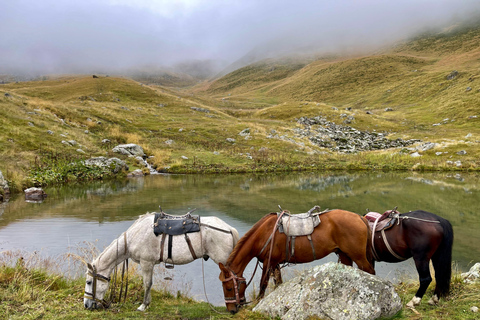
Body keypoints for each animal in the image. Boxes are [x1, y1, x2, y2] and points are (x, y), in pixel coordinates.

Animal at [84, 211, 240, 312]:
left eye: (89, 282)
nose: (86, 305)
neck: (135, 235)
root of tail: (228, 228)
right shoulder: (150, 263)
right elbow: (149, 284)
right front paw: (147, 304)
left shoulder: (146, 262)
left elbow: (147, 284)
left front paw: (143, 306)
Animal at [219, 209, 376, 314]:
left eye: (229, 288)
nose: (231, 310)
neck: (264, 235)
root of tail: (360, 218)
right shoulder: (275, 264)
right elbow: (278, 283)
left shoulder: (268, 263)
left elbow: (263, 284)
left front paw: (257, 303)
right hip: (344, 255)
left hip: (358, 257)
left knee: (370, 272)